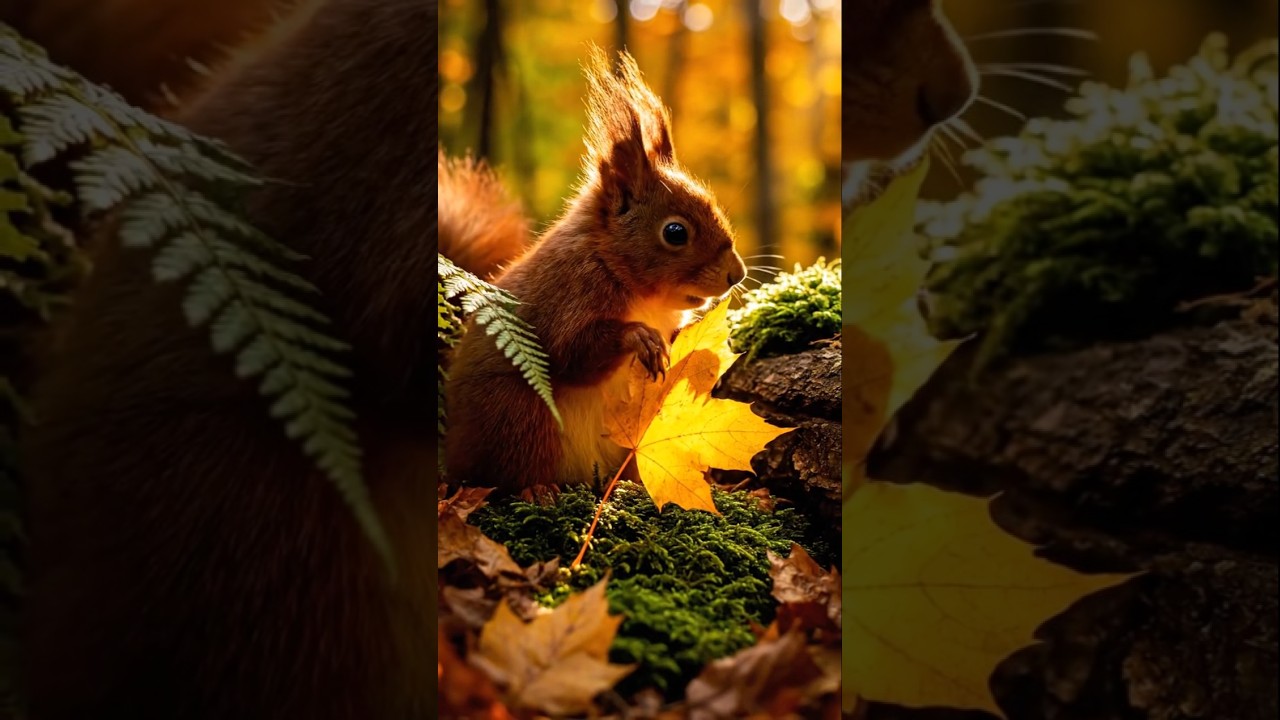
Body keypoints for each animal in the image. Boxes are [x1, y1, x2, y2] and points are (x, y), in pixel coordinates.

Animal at [440, 47, 747, 492]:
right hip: (518, 412)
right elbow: (571, 353)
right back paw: (538, 490)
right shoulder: (568, 293)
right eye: (675, 232)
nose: (736, 275)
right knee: (508, 470)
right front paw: (639, 337)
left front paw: (697, 359)